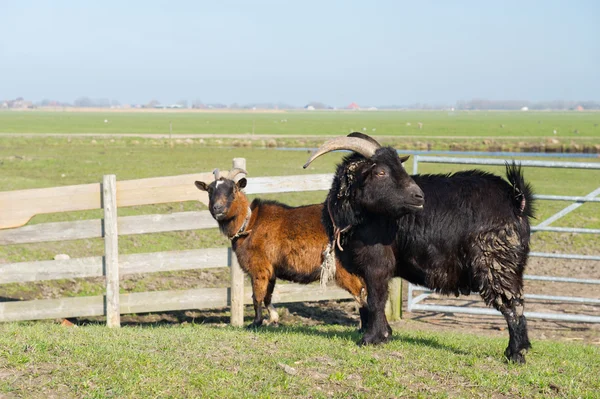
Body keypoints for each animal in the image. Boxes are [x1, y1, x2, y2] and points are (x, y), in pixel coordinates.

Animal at [195, 169, 368, 328]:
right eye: (209, 190)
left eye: (233, 190)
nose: (218, 208)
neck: (250, 223)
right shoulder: (271, 271)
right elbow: (267, 296)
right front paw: (273, 319)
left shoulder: (259, 268)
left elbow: (256, 297)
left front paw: (256, 323)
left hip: (343, 269)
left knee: (361, 292)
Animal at [304, 133, 536, 364]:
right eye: (380, 172)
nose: (419, 196)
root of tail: (516, 201)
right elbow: (378, 298)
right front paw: (386, 334)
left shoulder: (377, 264)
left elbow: (376, 299)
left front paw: (371, 338)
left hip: (495, 264)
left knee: (513, 305)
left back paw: (516, 354)